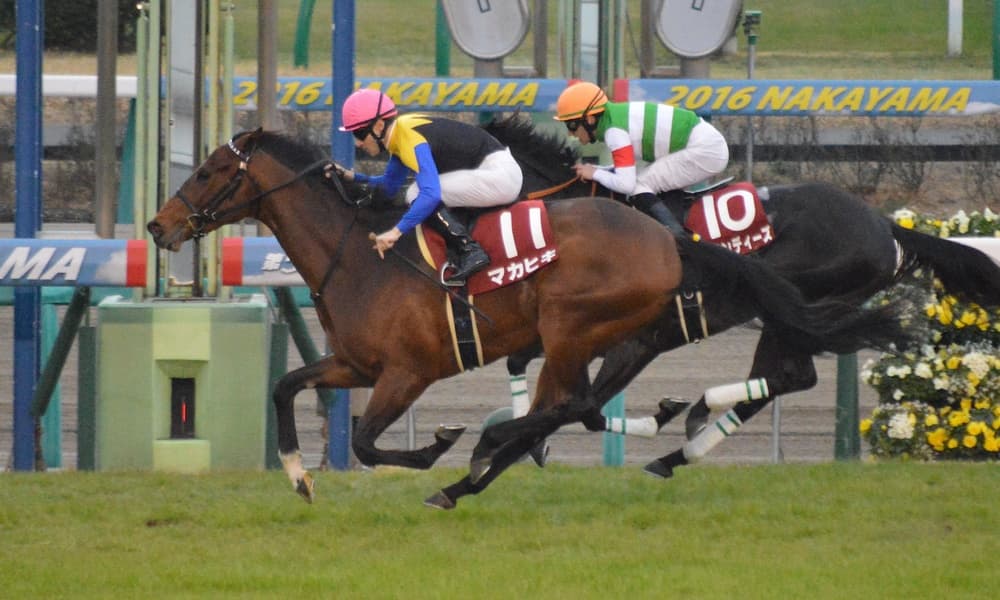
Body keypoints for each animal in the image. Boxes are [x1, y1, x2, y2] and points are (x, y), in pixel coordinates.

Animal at [147, 129, 912, 509]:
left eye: (210, 170)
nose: (158, 226)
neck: (361, 254)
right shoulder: (357, 364)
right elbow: (285, 388)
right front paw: (299, 476)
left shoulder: (408, 373)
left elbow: (366, 441)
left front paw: (442, 445)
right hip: (595, 334)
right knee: (577, 405)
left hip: (578, 325)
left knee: (571, 405)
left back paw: (487, 456)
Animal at [486, 114, 1000, 476]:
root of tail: (882, 224)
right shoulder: (605, 340)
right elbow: (547, 381)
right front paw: (524, 445)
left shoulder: (629, 340)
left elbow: (582, 403)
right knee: (784, 379)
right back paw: (677, 451)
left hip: (792, 305)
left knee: (791, 375)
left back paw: (701, 409)